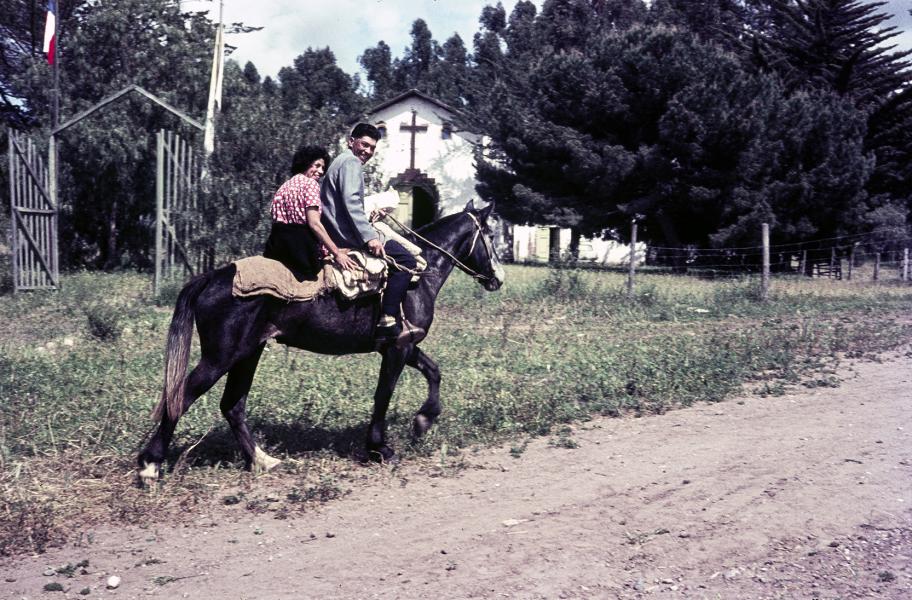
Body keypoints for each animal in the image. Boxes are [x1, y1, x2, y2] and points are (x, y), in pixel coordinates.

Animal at [138, 200, 505, 486]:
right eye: (490, 235)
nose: (498, 279)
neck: (418, 276)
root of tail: (212, 276)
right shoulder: (397, 349)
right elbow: (383, 395)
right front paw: (380, 448)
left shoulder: (404, 346)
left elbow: (434, 372)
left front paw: (423, 420)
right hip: (220, 357)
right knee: (181, 397)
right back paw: (150, 466)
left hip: (247, 354)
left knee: (232, 405)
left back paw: (262, 460)